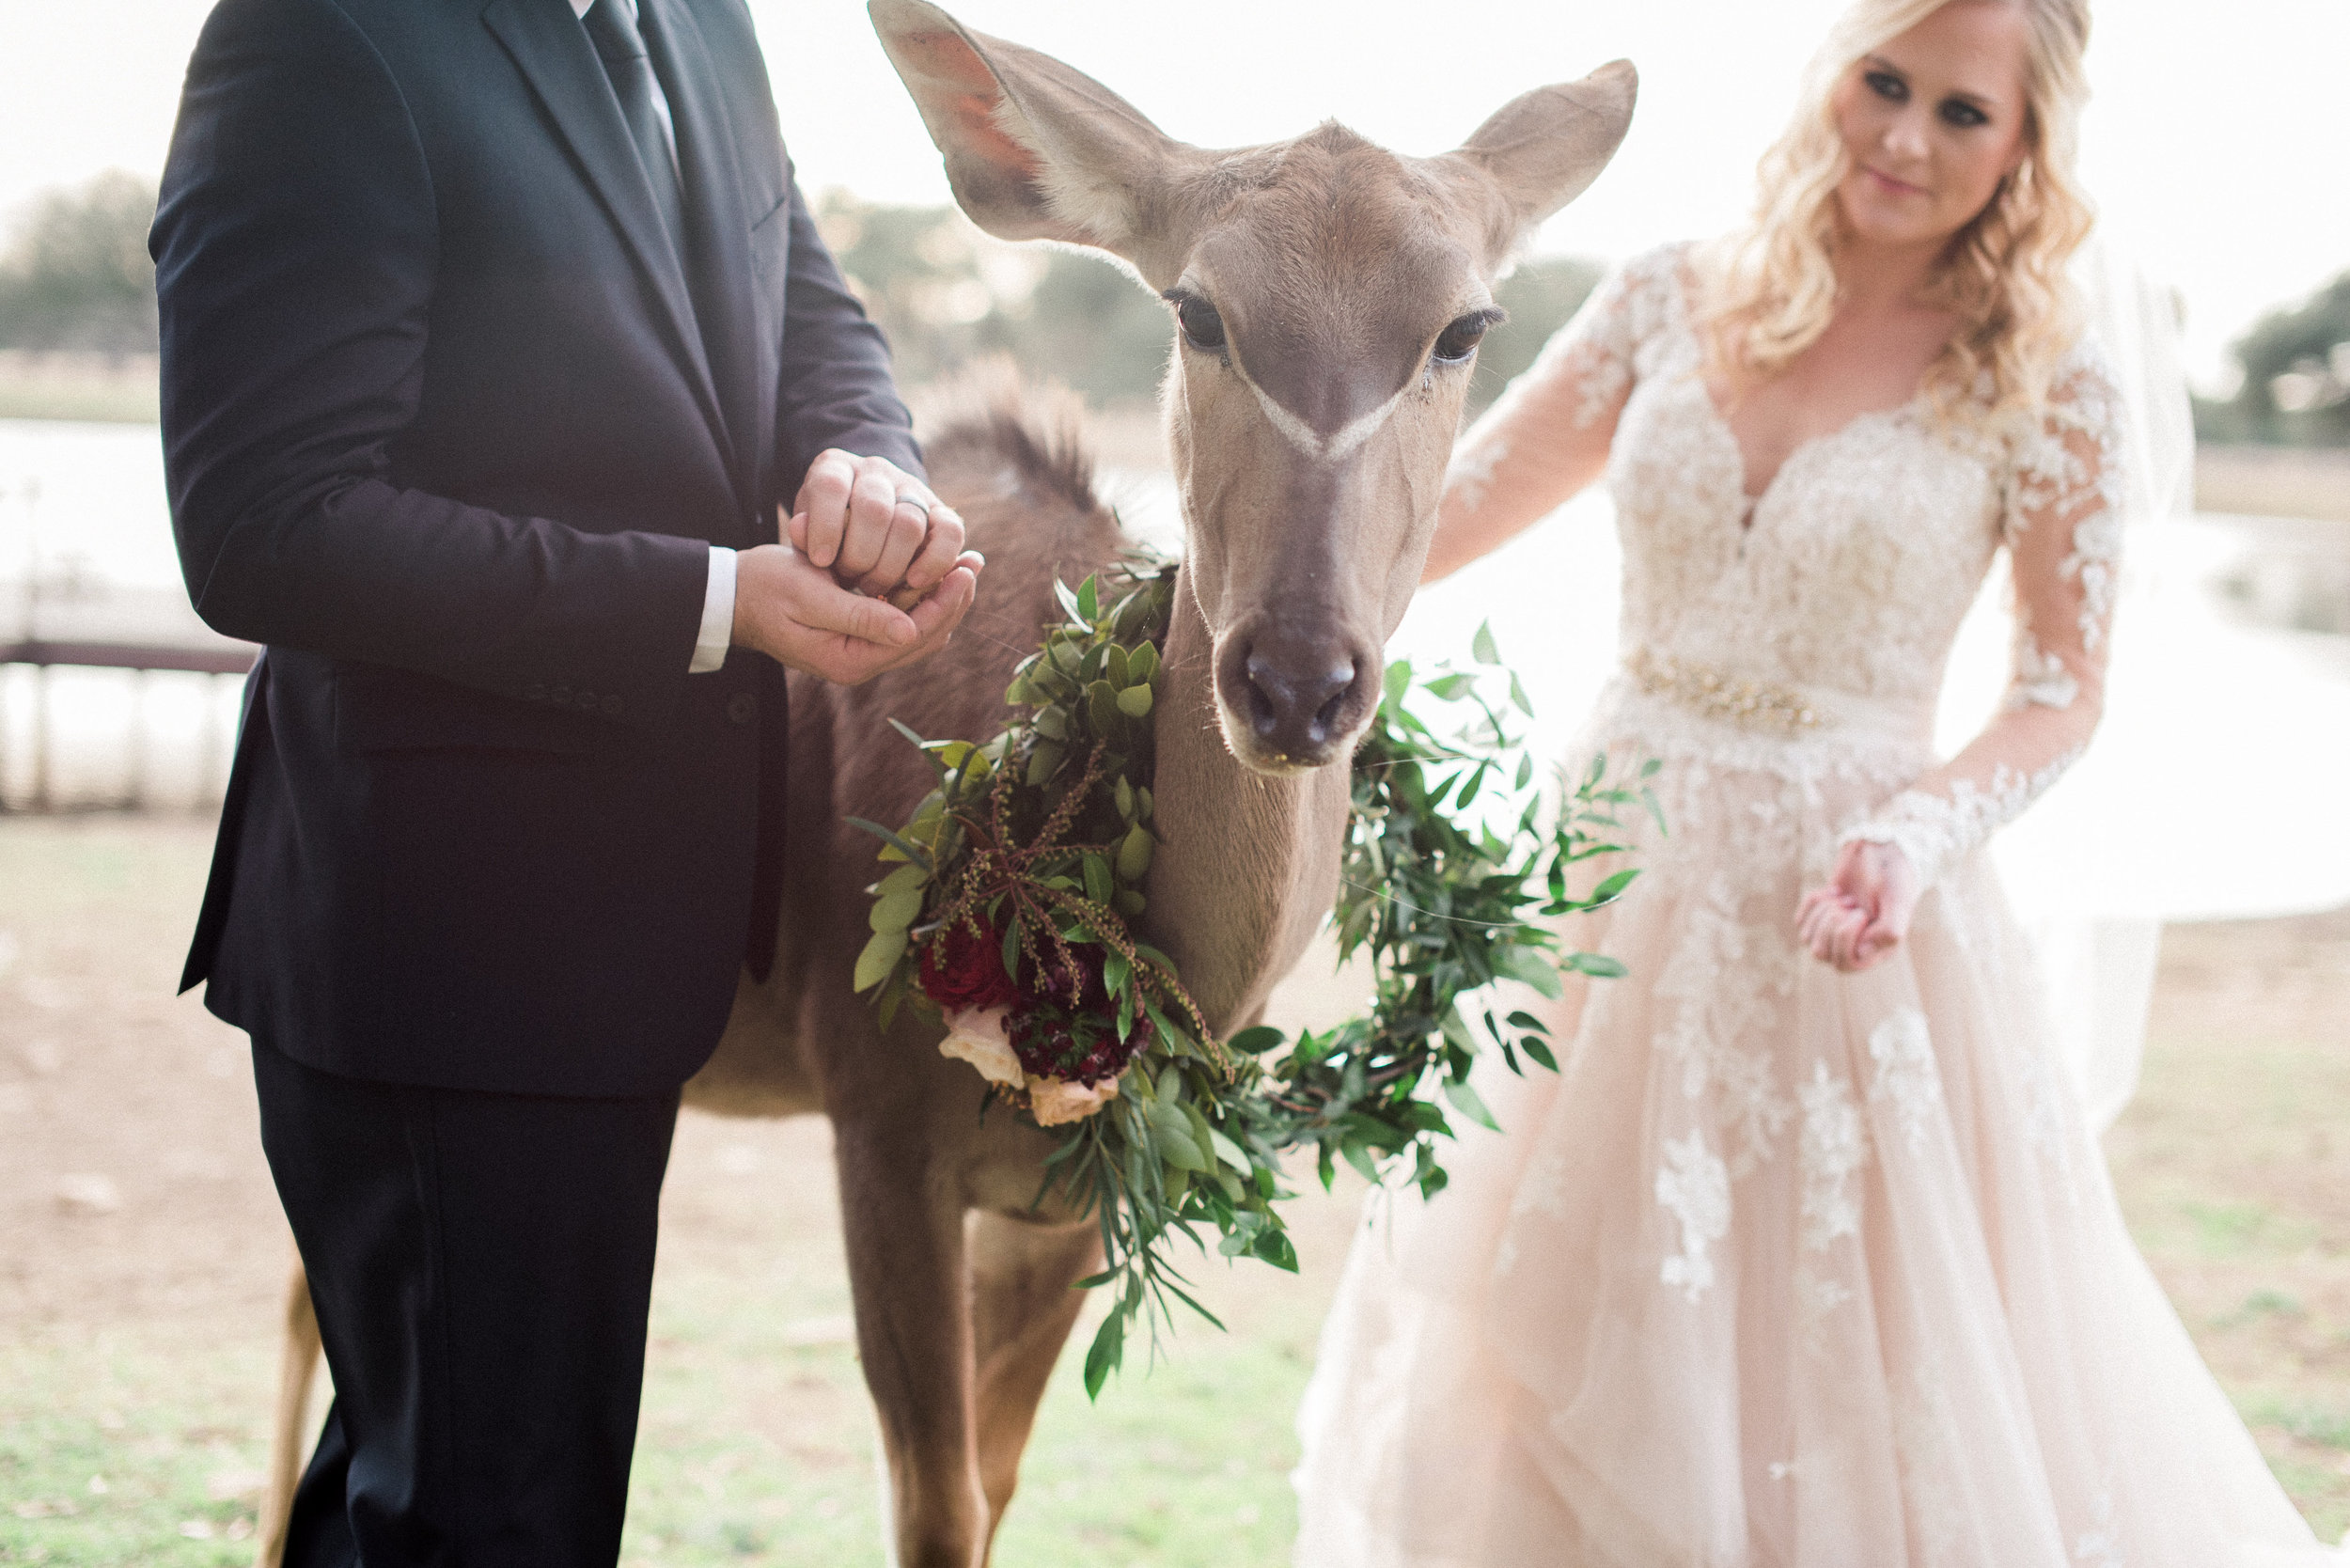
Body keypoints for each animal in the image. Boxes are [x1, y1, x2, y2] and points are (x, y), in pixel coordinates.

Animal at [243, 12, 1636, 1568]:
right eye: (1198, 313)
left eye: (1464, 331)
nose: (1293, 682)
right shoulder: (884, 1144)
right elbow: (936, 1498)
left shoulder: (1065, 1201)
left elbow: (999, 1480)